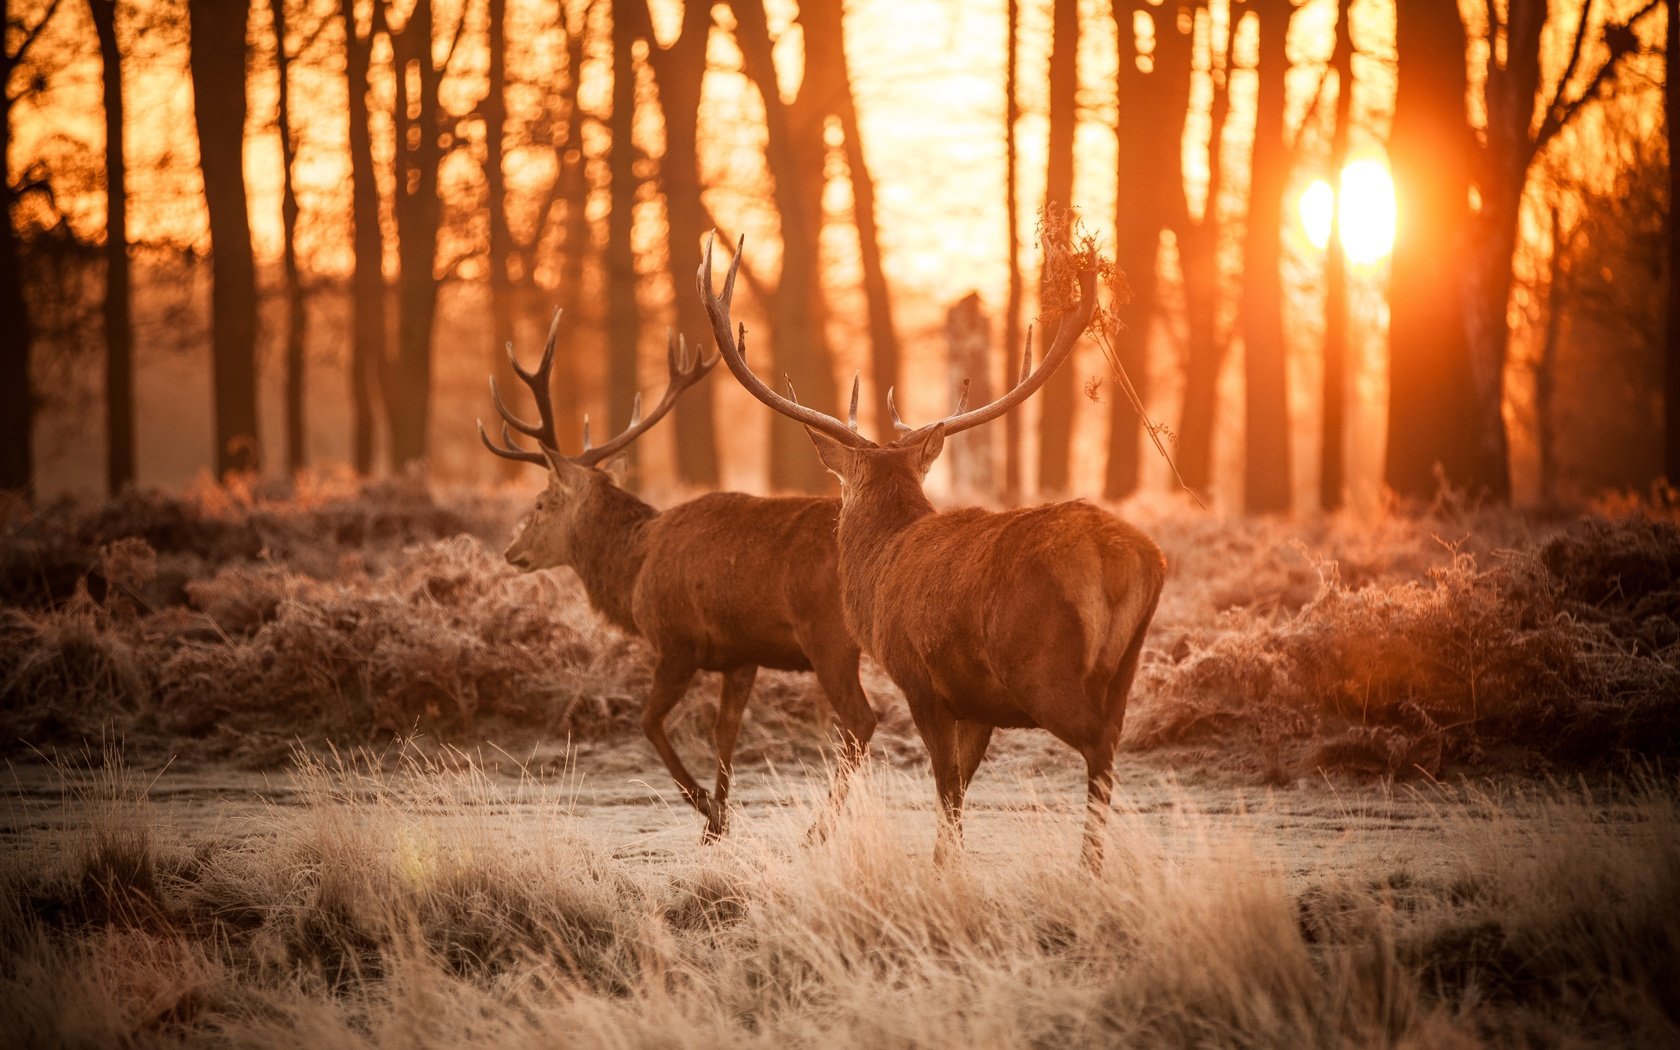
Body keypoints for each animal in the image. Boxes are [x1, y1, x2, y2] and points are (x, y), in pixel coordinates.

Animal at [473, 310, 866, 843]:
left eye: (539, 503)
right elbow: (725, 732)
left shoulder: (676, 640)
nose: (512, 553)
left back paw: (818, 830)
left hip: (829, 638)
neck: (634, 569)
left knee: (859, 722)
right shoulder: (741, 653)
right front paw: (718, 821)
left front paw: (706, 808)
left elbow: (648, 722)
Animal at [702, 235, 1162, 866]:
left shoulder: (919, 678)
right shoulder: (978, 703)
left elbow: (945, 783)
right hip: (1128, 663)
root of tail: (1119, 558)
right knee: (1112, 739)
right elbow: (961, 784)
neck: (878, 568)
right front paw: (947, 861)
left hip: (1042, 665)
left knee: (1099, 747)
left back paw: (1087, 868)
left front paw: (942, 868)